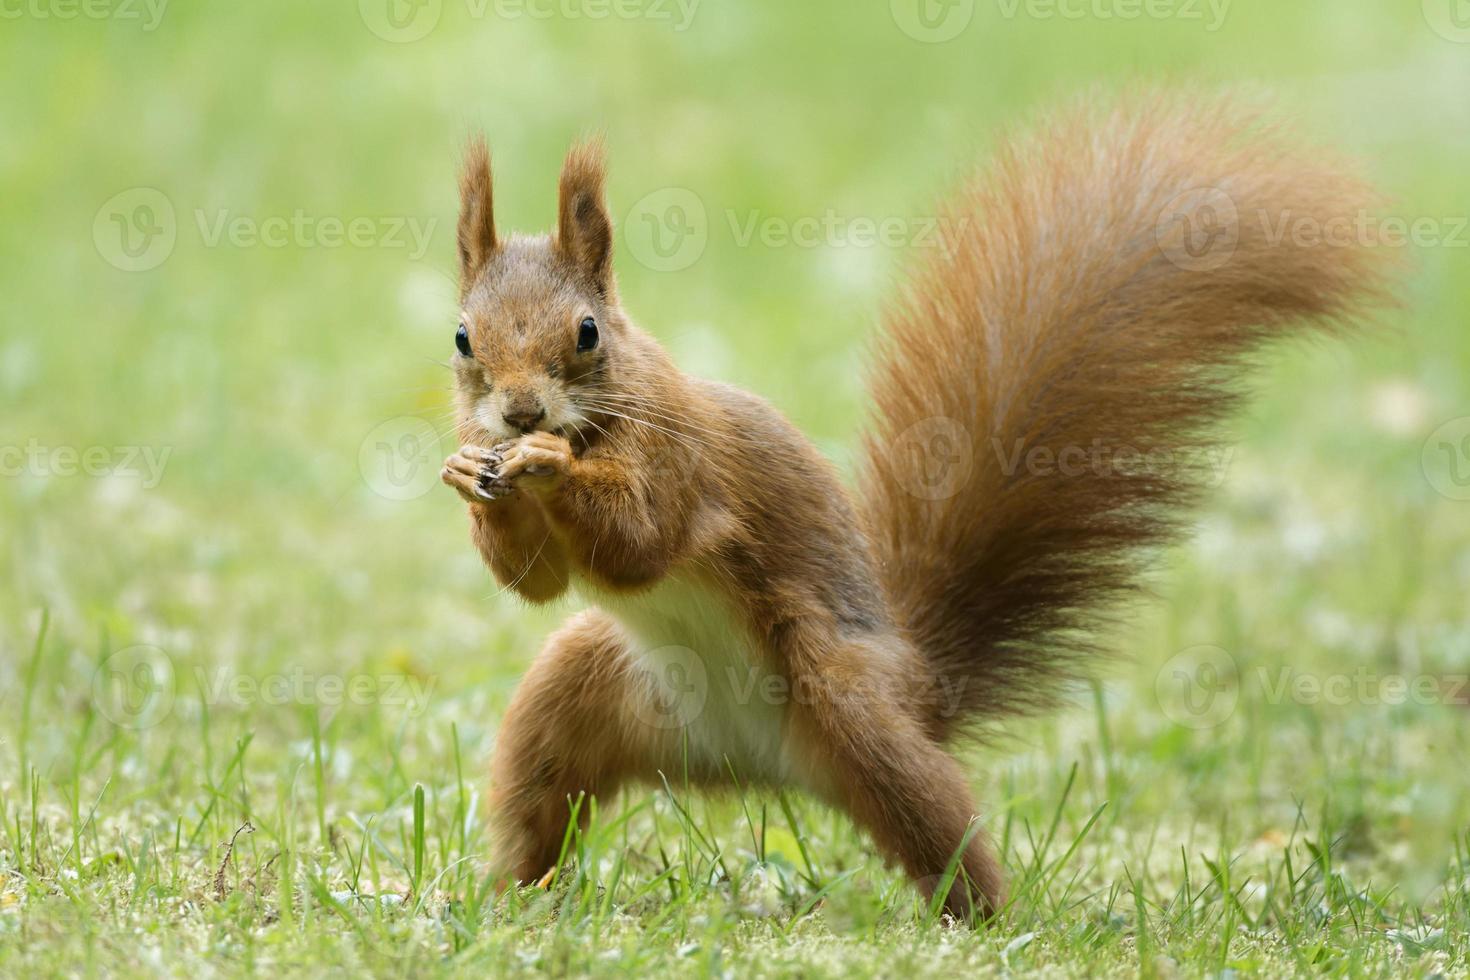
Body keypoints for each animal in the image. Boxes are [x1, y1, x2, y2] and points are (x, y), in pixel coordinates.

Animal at [438, 91, 1399, 922]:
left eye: (586, 334)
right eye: (461, 337)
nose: (519, 414)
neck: (605, 413)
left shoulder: (685, 465)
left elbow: (641, 540)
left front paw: (549, 463)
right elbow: (536, 580)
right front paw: (472, 475)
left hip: (851, 703)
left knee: (936, 822)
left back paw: (981, 921)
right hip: (579, 693)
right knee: (542, 795)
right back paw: (508, 898)